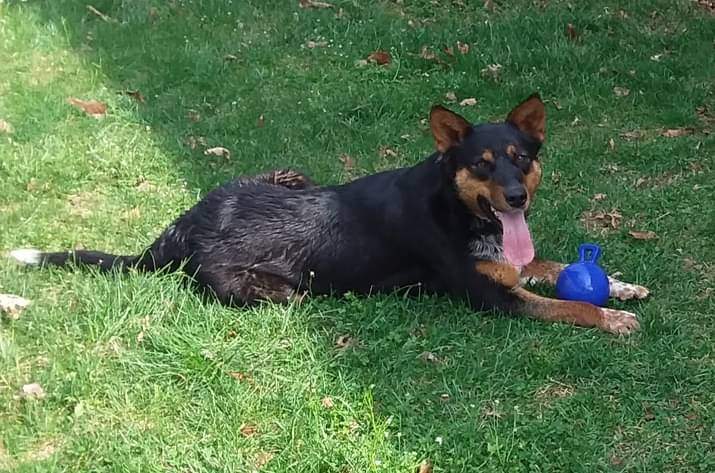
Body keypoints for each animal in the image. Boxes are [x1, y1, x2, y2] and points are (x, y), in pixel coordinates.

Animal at [8, 94, 652, 334]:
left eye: (522, 159)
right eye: (483, 164)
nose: (516, 198)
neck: (455, 206)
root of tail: (175, 234)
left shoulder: (510, 262)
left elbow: (550, 265)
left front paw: (622, 286)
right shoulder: (491, 297)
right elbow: (566, 302)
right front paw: (612, 316)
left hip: (286, 173)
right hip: (278, 293)